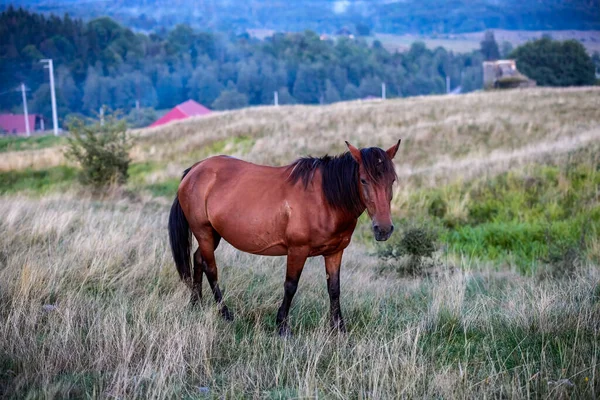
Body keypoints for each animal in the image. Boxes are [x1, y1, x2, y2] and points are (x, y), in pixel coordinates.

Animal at [169, 140, 400, 334]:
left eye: (392, 180)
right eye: (363, 180)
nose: (383, 229)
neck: (325, 199)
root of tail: (195, 170)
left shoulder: (335, 252)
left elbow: (334, 289)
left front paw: (338, 328)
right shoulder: (297, 250)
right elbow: (291, 286)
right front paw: (282, 326)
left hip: (213, 234)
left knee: (198, 259)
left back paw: (196, 304)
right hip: (204, 232)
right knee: (211, 269)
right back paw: (225, 313)